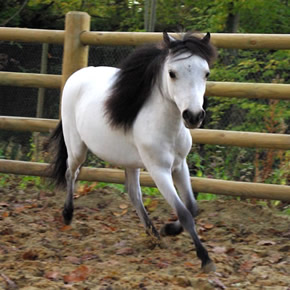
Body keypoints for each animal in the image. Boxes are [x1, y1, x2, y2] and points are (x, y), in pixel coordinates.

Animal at [48, 31, 218, 272]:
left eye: (206, 73)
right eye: (172, 73)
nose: (193, 116)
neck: (168, 127)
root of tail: (76, 76)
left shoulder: (179, 165)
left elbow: (192, 207)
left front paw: (169, 229)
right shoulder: (159, 170)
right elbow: (184, 212)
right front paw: (205, 258)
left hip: (129, 162)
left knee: (133, 193)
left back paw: (154, 234)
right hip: (77, 149)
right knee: (71, 173)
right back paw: (67, 215)